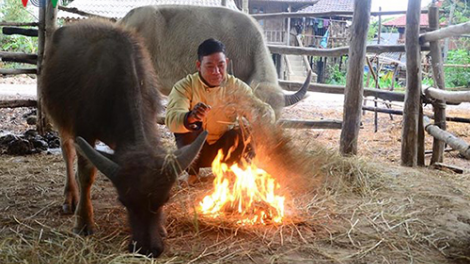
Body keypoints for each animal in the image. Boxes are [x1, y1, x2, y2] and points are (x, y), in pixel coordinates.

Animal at [41, 19, 207, 256]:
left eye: (165, 199)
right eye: (123, 201)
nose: (148, 249)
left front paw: (162, 228)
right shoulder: (83, 130)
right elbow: (86, 175)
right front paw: (83, 222)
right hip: (59, 118)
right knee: (67, 152)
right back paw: (70, 196)